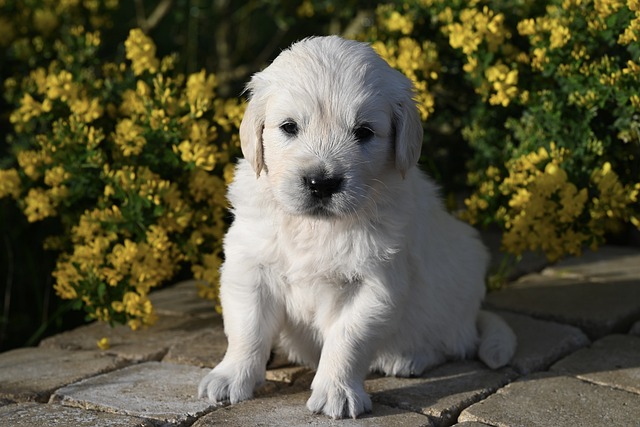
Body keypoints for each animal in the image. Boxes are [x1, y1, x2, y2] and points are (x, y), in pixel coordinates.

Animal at [198, 35, 516, 420]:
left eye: (364, 132)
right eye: (289, 127)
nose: (321, 183)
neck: (314, 228)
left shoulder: (374, 283)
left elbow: (348, 338)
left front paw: (337, 391)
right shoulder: (250, 266)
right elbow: (247, 328)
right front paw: (231, 376)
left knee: (451, 341)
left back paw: (407, 357)